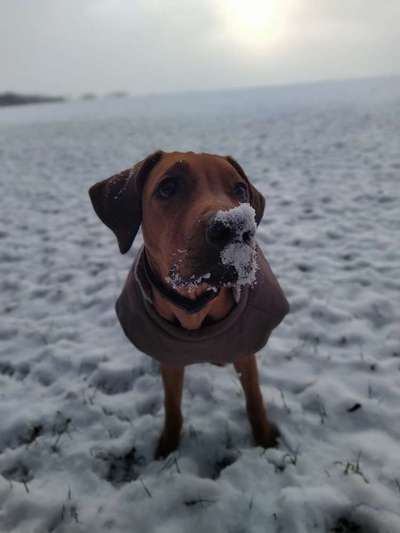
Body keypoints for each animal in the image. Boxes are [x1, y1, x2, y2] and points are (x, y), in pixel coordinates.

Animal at [89, 150, 290, 458]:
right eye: (168, 187)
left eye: (240, 190)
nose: (235, 228)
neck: (194, 304)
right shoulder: (170, 359)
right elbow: (172, 407)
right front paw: (167, 447)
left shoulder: (245, 353)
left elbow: (254, 399)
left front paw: (265, 439)